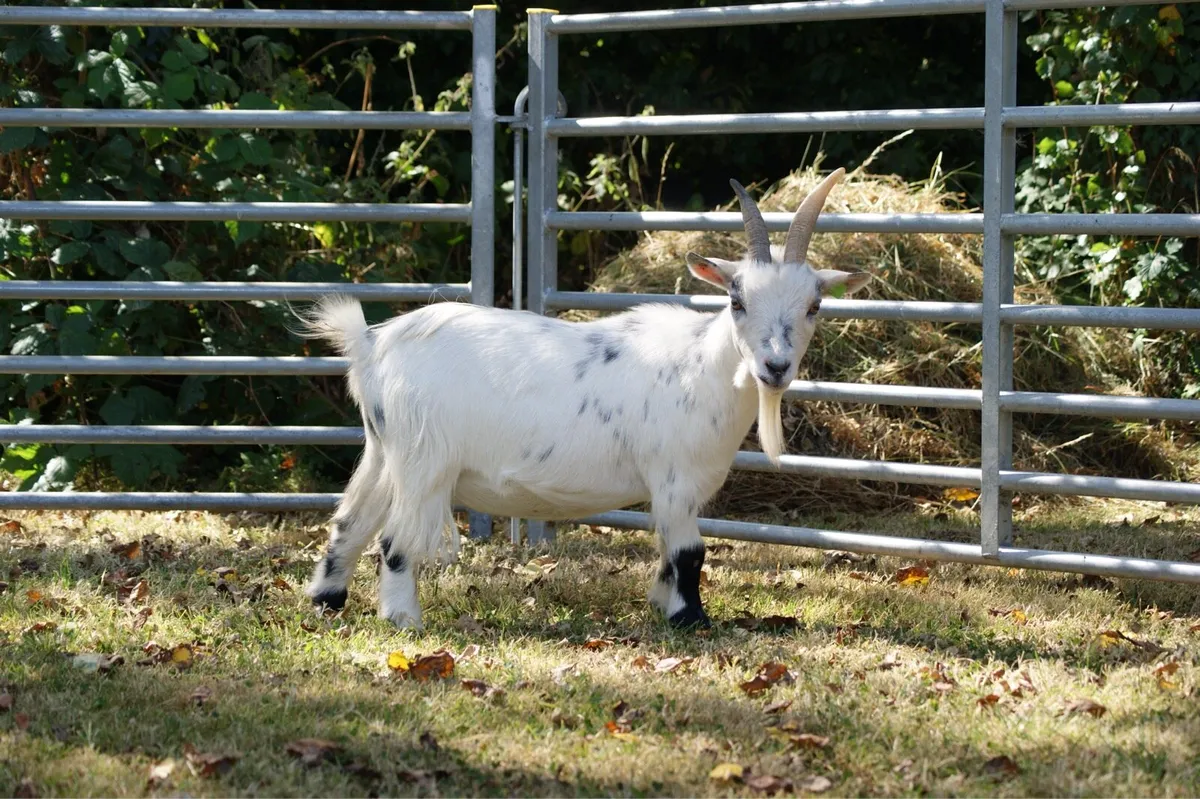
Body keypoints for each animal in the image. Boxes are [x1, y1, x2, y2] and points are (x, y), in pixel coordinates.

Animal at [300, 168, 871, 629]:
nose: (775, 367)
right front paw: (690, 619)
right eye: (737, 300)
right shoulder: (674, 479)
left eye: (815, 306)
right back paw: (402, 618)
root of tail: (372, 346)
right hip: (425, 460)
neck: (701, 367)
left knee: (350, 523)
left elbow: (669, 553)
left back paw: (326, 601)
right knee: (394, 540)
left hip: (383, 450)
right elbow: (690, 553)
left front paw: (661, 605)